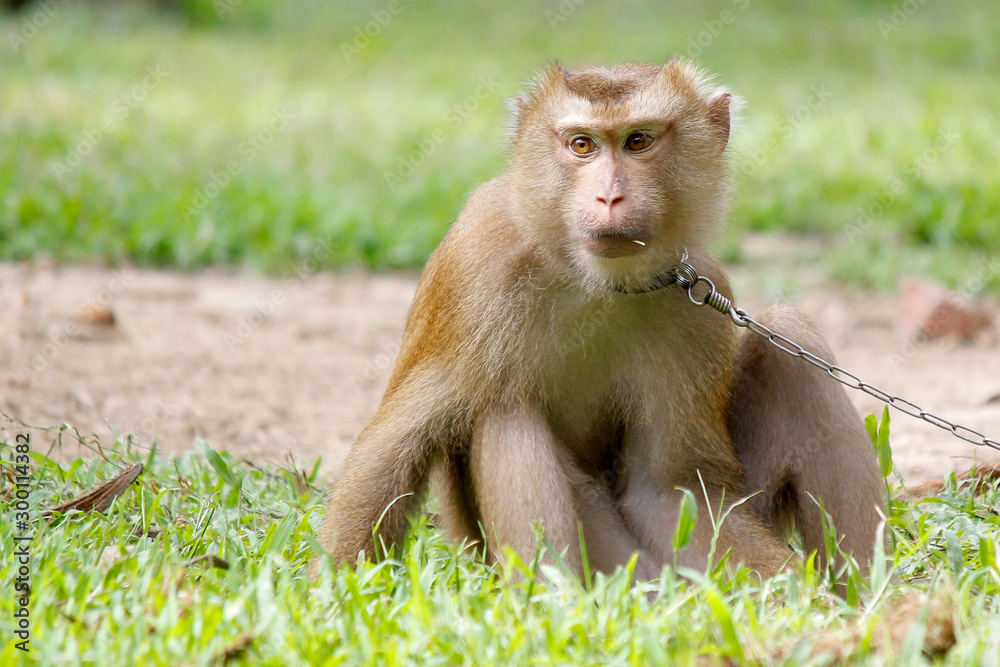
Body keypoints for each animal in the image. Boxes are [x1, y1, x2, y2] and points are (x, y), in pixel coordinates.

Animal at [318, 60, 886, 582]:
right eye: (582, 145)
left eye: (638, 141)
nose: (609, 196)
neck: (589, 277)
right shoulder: (477, 264)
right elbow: (395, 446)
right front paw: (337, 589)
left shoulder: (694, 306)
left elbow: (669, 491)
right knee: (505, 406)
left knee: (790, 335)